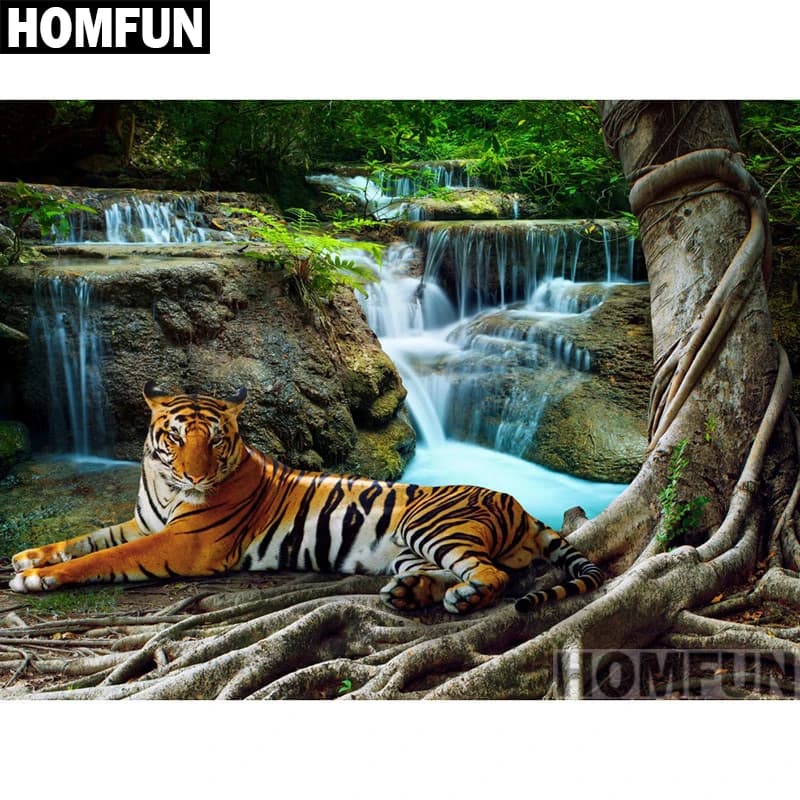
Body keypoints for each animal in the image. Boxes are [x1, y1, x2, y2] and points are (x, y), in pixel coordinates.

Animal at [9, 382, 604, 614]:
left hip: (431, 527)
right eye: (175, 438)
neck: (163, 484)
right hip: (410, 548)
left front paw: (38, 578)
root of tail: (519, 505)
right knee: (450, 573)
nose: (196, 475)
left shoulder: (182, 544)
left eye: (215, 440)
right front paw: (28, 557)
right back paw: (408, 593)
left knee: (492, 576)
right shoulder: (145, 524)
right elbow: (89, 538)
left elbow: (104, 557)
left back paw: (459, 598)